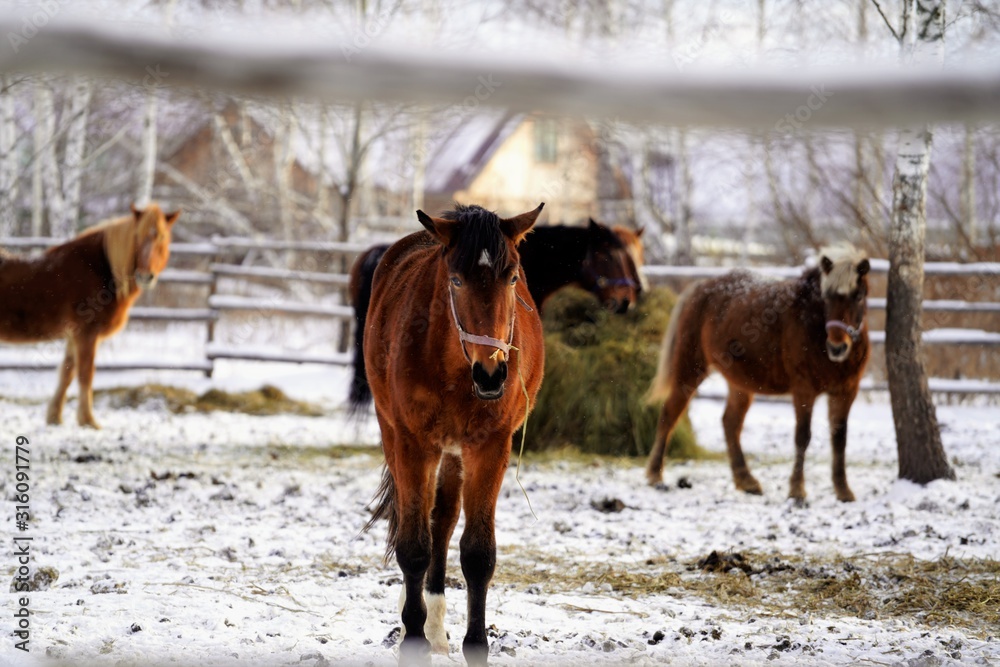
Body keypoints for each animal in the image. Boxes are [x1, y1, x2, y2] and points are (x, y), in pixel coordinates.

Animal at [0, 203, 179, 428]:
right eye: (137, 236)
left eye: (162, 237)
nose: (146, 276)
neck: (100, 268)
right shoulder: (86, 334)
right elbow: (86, 374)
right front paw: (88, 420)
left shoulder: (72, 336)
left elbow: (67, 372)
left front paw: (55, 417)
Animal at [359, 203, 545, 666]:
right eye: (456, 280)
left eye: (512, 277)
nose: (492, 374)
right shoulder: (412, 444)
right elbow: (413, 547)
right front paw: (412, 640)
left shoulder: (489, 449)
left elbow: (477, 554)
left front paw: (474, 645)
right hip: (398, 437)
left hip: (454, 454)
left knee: (441, 521)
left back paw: (436, 627)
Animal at [644, 245, 870, 503]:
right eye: (827, 297)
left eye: (859, 296)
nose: (837, 347)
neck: (811, 321)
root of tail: (700, 287)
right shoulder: (804, 390)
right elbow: (802, 437)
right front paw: (797, 491)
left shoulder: (846, 392)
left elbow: (840, 438)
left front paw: (843, 490)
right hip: (690, 370)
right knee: (670, 413)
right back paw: (655, 475)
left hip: (740, 383)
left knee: (730, 423)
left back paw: (746, 481)